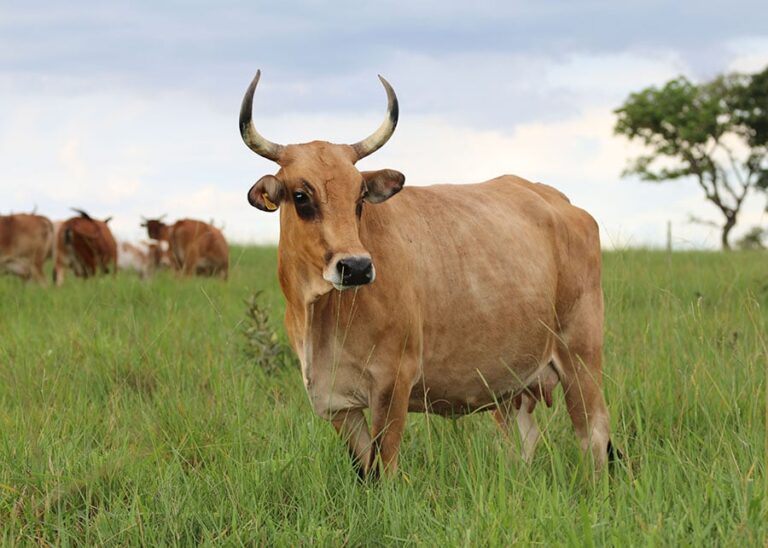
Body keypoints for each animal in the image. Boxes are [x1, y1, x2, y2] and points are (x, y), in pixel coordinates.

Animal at [238, 70, 616, 478]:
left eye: (359, 197)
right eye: (301, 196)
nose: (356, 267)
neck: (321, 314)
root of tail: (559, 201)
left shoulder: (392, 386)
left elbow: (383, 470)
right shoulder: (338, 404)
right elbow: (363, 469)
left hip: (580, 357)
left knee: (593, 434)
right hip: (514, 387)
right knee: (523, 441)